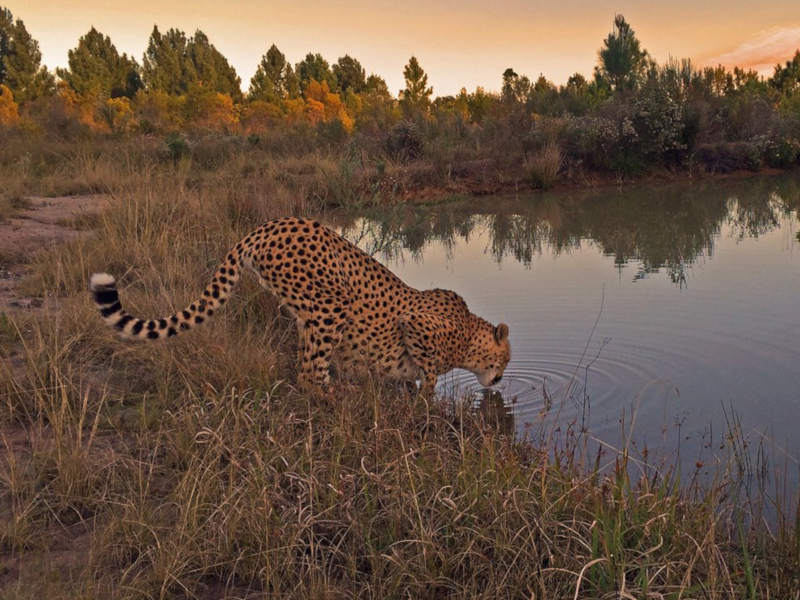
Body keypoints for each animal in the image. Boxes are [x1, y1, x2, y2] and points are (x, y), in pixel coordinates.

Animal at [89, 216, 512, 394]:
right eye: (506, 360)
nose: (502, 380)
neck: (468, 335)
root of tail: (267, 226)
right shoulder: (416, 324)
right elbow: (428, 373)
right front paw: (426, 400)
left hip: (308, 311)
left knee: (306, 365)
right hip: (332, 306)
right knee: (308, 374)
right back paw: (337, 397)